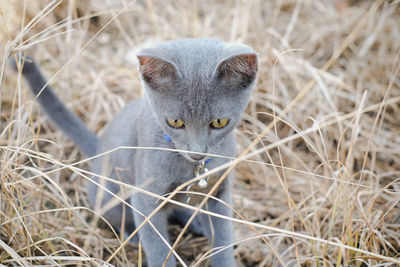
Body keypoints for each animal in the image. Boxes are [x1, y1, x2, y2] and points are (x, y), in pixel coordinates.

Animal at [13, 38, 260, 267]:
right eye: (175, 122)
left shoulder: (220, 191)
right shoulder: (145, 198)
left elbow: (222, 239)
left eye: (219, 122)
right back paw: (133, 236)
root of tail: (100, 147)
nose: (197, 153)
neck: (193, 169)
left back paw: (195, 221)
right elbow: (158, 247)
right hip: (109, 196)